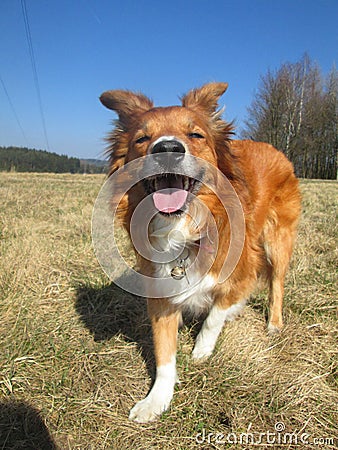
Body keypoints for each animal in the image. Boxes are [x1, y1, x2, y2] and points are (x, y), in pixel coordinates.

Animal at [99, 82, 300, 424]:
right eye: (142, 138)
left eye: (195, 135)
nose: (167, 148)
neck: (182, 231)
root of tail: (272, 147)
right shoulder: (160, 291)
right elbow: (164, 353)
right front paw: (157, 400)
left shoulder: (242, 271)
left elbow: (216, 314)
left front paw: (202, 351)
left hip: (277, 241)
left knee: (277, 283)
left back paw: (273, 322)